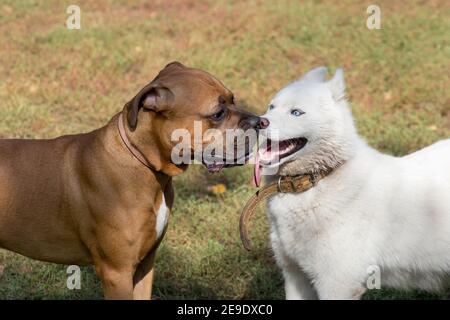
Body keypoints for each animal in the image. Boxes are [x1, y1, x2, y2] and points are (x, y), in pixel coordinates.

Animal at [0, 62, 268, 298]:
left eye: (233, 99)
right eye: (218, 113)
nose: (261, 122)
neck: (145, 165)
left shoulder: (144, 266)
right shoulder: (117, 273)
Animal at [256, 66, 450, 298]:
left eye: (296, 112)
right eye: (271, 106)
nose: (258, 122)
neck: (320, 178)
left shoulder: (337, 284)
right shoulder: (295, 276)